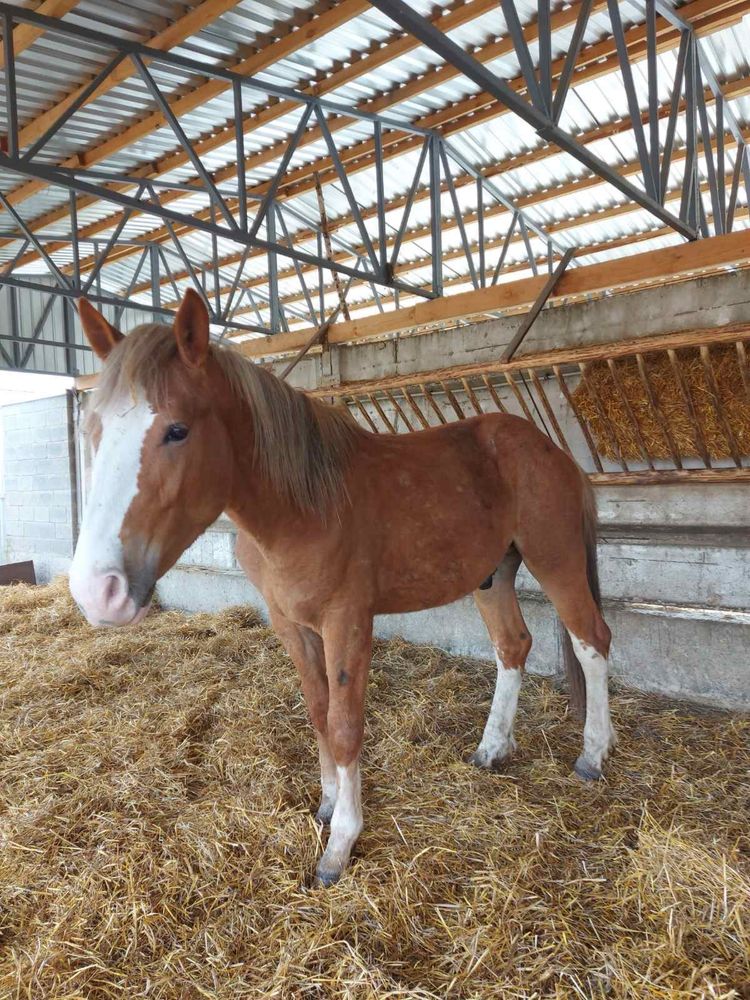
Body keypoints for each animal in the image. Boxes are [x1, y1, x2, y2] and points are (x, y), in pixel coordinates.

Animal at [70, 292, 616, 888]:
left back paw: (593, 756)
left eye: (177, 430)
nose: (98, 591)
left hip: (555, 559)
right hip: (492, 576)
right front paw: (329, 804)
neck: (302, 504)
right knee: (513, 646)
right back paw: (491, 748)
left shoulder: (347, 621)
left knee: (592, 641)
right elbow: (317, 710)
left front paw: (340, 845)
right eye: (92, 429)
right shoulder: (290, 623)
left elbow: (345, 724)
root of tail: (553, 452)